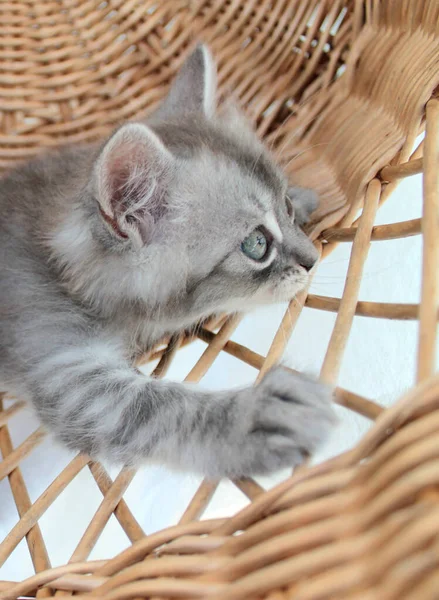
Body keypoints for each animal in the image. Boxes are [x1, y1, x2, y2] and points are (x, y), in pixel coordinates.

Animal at [0, 47, 336, 478]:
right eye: (257, 244)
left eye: (286, 207)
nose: (312, 259)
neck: (59, 265)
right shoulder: (67, 368)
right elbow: (160, 410)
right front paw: (253, 417)